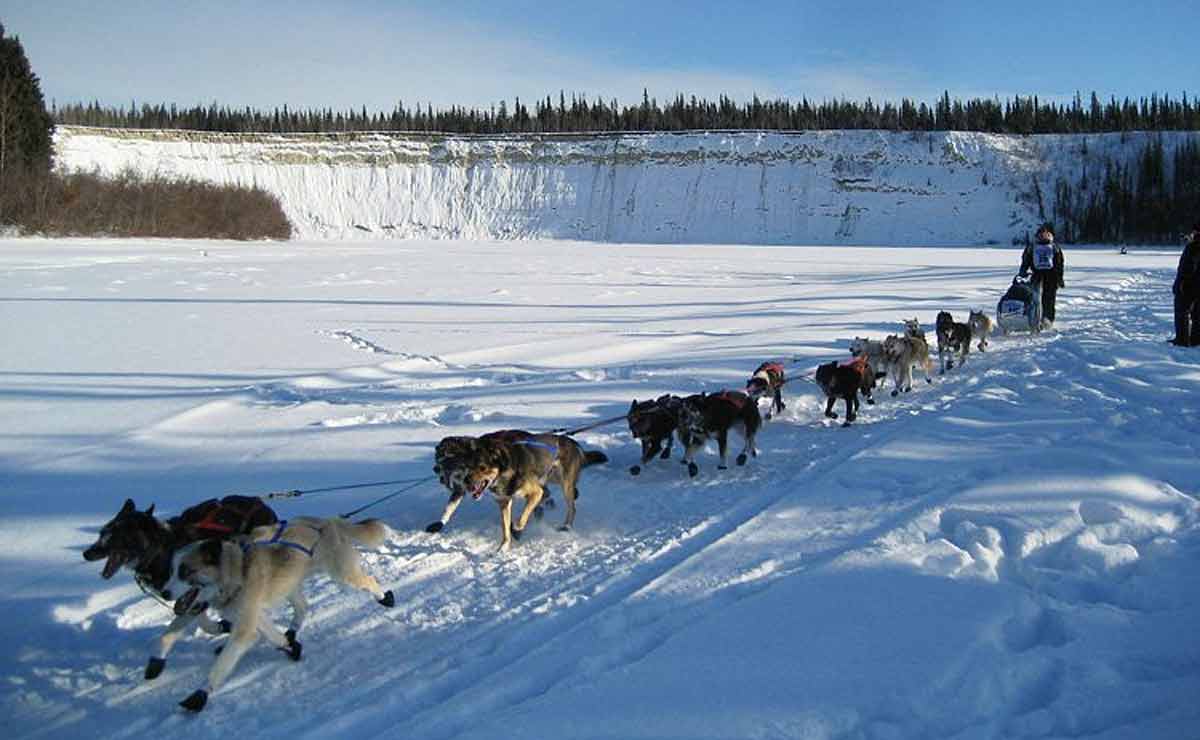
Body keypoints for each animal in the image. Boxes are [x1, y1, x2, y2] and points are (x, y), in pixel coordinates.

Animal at [82, 496, 278, 680]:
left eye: (116, 535)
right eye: (102, 532)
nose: (86, 553)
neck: (161, 551)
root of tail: (261, 503)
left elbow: (172, 630)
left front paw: (156, 662)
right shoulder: (191, 596)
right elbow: (199, 618)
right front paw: (219, 627)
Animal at [169, 515, 394, 711]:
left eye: (185, 571)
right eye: (171, 571)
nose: (164, 592)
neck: (237, 570)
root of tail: (328, 521)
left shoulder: (246, 626)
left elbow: (223, 663)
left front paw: (200, 694)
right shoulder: (251, 615)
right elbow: (270, 634)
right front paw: (289, 646)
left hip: (343, 574)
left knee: (369, 581)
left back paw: (384, 597)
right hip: (290, 585)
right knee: (303, 607)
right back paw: (291, 633)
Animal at [428, 429, 561, 533]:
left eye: (447, 457)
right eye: (437, 458)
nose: (435, 468)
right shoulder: (461, 488)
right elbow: (449, 507)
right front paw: (439, 523)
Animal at [445, 433, 607, 551]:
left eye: (482, 467)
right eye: (469, 466)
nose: (466, 482)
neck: (507, 469)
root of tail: (574, 443)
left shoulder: (536, 493)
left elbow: (523, 515)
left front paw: (517, 528)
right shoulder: (504, 502)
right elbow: (505, 528)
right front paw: (504, 546)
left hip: (564, 484)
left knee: (572, 507)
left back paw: (566, 526)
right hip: (552, 478)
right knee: (571, 493)